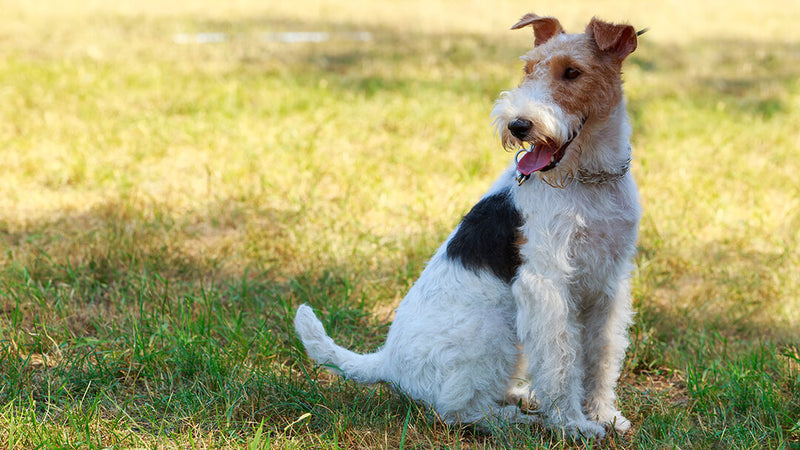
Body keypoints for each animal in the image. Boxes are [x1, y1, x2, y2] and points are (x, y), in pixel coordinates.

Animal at [294, 14, 644, 440]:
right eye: (528, 69)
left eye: (572, 72)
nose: (519, 125)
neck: (589, 179)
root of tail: (386, 361)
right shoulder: (546, 283)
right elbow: (561, 362)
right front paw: (573, 425)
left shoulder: (609, 282)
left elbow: (602, 355)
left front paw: (605, 415)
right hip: (494, 330)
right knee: (457, 410)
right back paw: (516, 420)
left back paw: (522, 396)